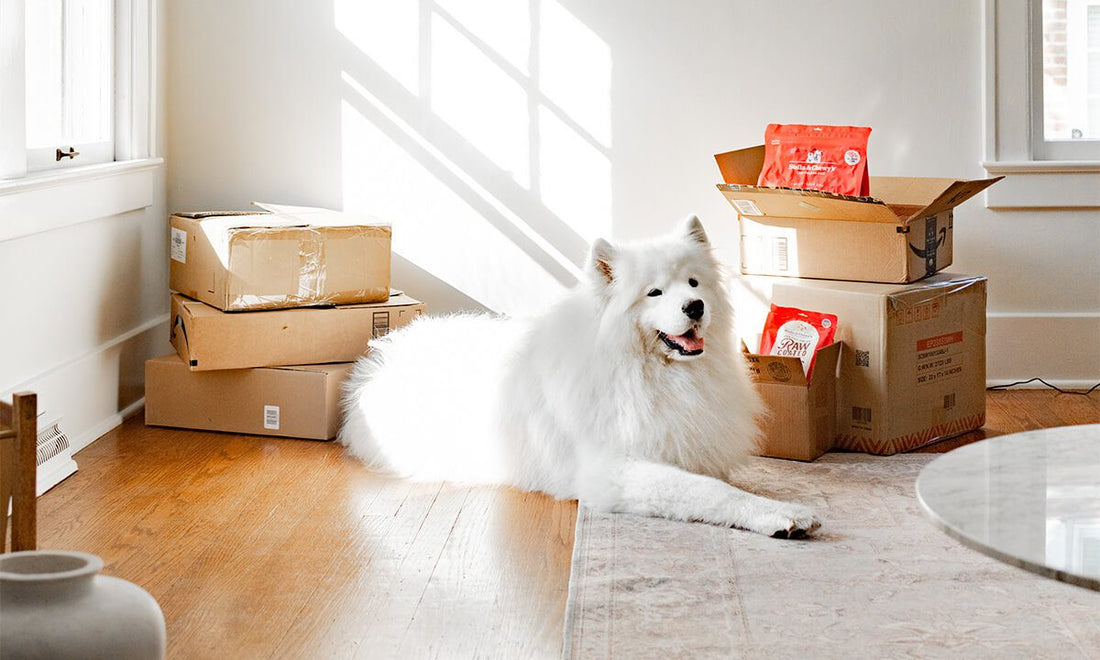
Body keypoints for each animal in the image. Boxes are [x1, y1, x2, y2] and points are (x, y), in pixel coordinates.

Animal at [338, 218, 822, 539]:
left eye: (693, 282)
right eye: (654, 293)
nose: (695, 306)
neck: (648, 372)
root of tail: (383, 357)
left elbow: (718, 482)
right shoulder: (614, 469)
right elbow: (710, 492)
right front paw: (783, 514)